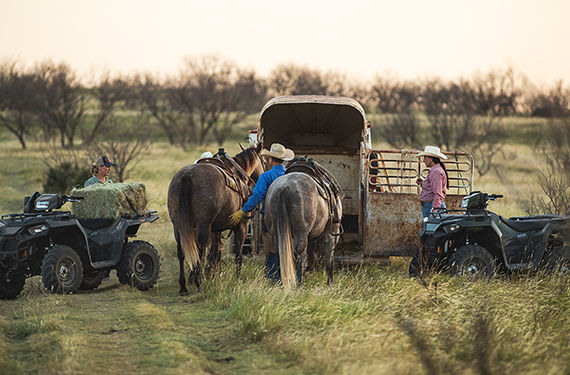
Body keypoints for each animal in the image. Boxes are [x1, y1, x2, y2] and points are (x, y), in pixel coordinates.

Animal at [164, 145, 262, 296]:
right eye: (263, 160)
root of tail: (187, 176)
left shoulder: (216, 229)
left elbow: (215, 252)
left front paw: (213, 275)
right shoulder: (242, 226)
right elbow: (237, 254)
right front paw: (238, 278)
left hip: (178, 225)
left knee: (182, 252)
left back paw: (184, 285)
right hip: (203, 226)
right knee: (199, 250)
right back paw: (198, 283)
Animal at [262, 159, 342, 290]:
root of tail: (284, 188)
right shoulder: (332, 233)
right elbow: (329, 257)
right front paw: (330, 283)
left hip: (276, 233)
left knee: (279, 253)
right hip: (301, 233)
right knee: (298, 256)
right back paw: (299, 284)